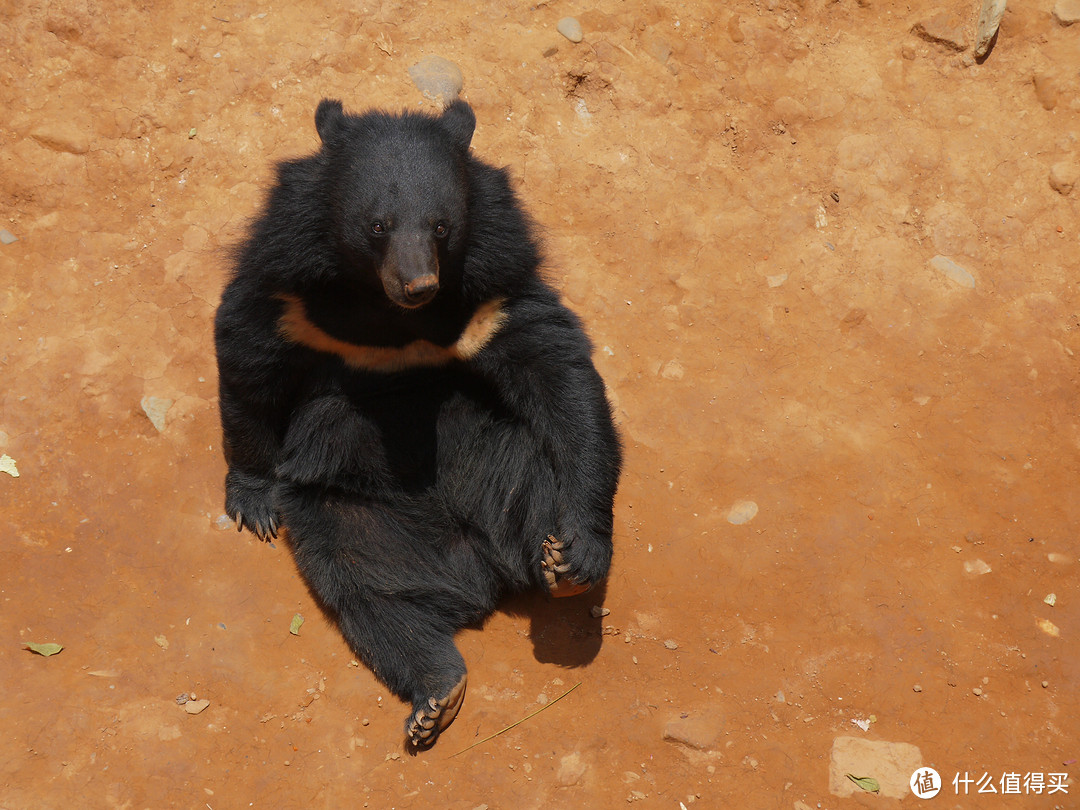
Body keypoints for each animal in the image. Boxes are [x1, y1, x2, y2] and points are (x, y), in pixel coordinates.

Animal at [214, 101, 622, 756]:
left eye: (441, 227)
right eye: (378, 226)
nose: (418, 285)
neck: (387, 310)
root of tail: (474, 571)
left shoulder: (492, 292)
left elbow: (559, 371)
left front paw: (580, 553)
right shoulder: (287, 283)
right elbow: (248, 353)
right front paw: (253, 502)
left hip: (510, 466)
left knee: (534, 491)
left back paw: (557, 572)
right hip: (350, 510)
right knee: (367, 589)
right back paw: (435, 693)